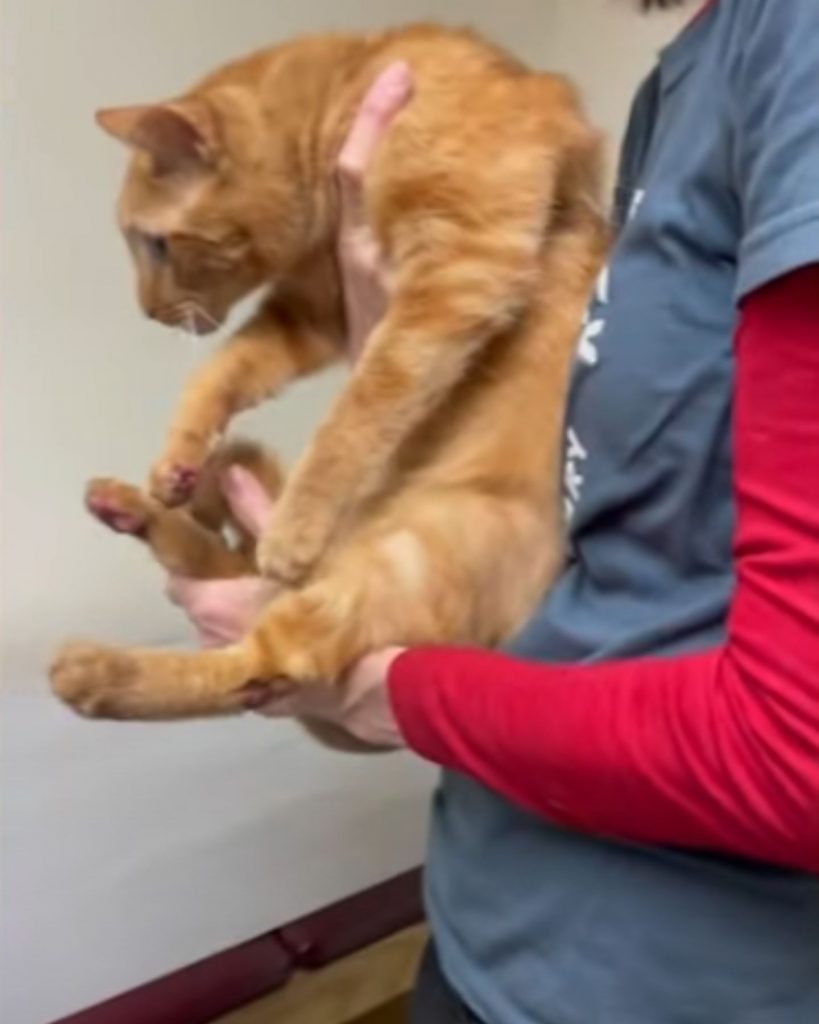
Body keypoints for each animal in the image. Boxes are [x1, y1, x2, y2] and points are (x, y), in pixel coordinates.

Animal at [48, 25, 606, 729]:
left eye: (153, 244)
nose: (146, 311)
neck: (348, 90)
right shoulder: (309, 313)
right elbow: (218, 370)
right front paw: (178, 457)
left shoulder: (459, 268)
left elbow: (362, 402)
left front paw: (293, 525)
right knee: (229, 583)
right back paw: (133, 508)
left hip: (409, 556)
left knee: (258, 658)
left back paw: (98, 673)